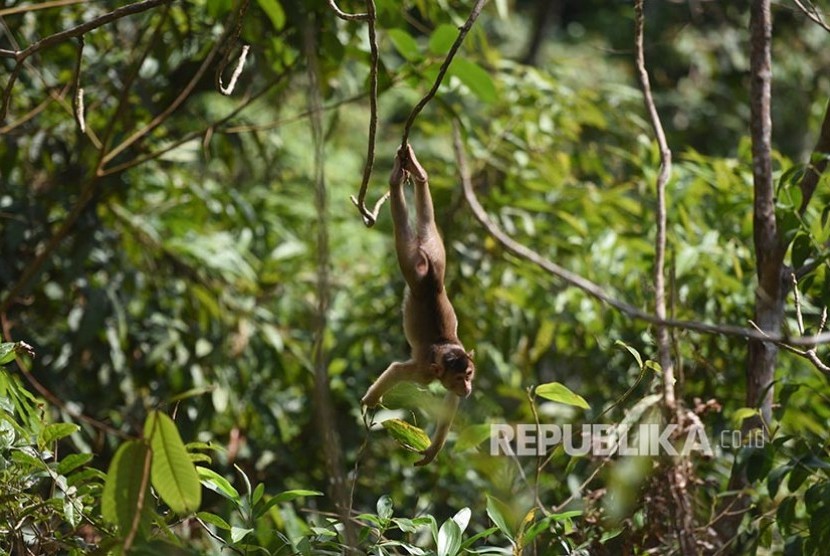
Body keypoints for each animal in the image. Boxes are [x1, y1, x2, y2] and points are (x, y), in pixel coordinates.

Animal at [362, 142, 478, 464]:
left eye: (468, 375)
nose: (468, 387)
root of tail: (430, 281)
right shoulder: (423, 373)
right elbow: (398, 370)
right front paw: (369, 401)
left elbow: (450, 401)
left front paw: (432, 450)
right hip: (415, 268)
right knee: (404, 235)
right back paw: (396, 180)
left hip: (436, 255)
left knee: (426, 224)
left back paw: (418, 173)